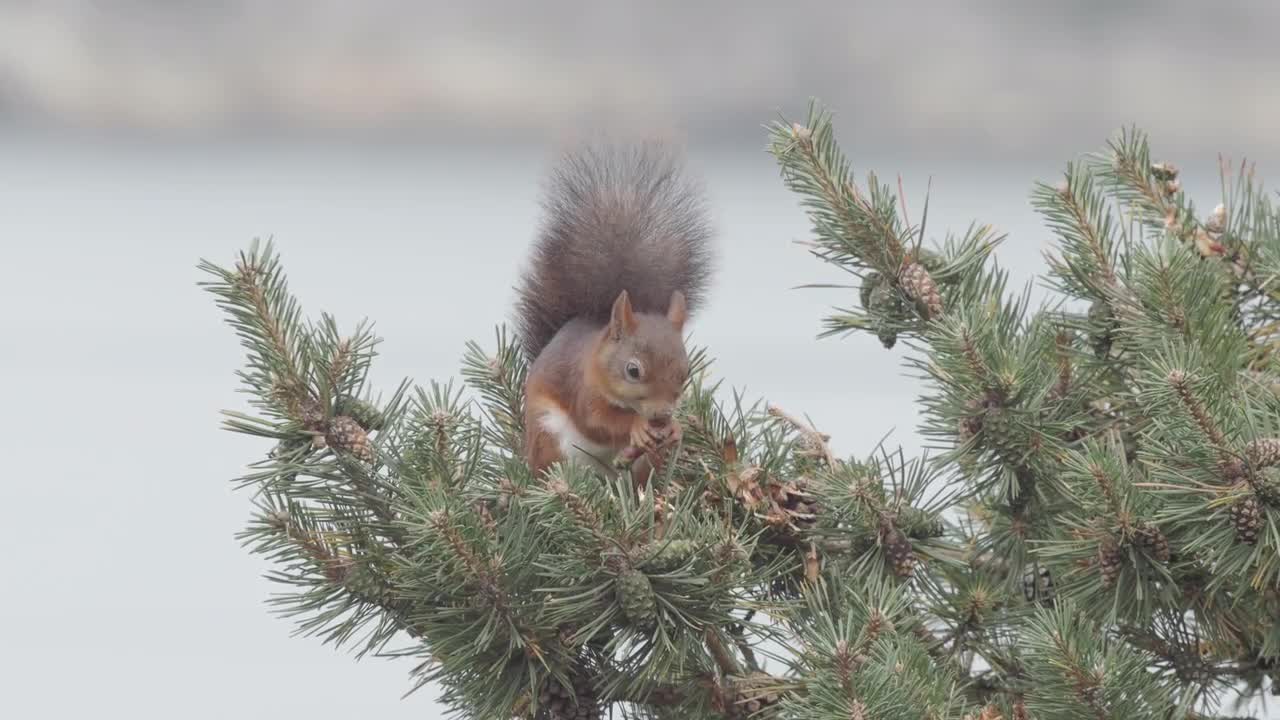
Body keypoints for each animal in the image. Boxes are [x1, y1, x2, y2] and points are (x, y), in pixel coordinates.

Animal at [513, 142, 715, 480]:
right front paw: (636, 425)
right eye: (633, 371)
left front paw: (675, 428)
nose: (661, 416)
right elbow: (596, 420)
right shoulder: (581, 387)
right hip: (547, 437)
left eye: (685, 373)